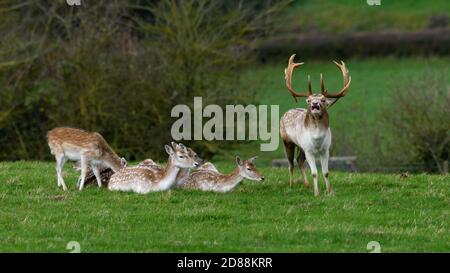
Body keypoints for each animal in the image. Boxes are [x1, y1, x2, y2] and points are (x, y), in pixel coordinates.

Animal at [282, 53, 352, 196]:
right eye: (308, 100)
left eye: (323, 99)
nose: (315, 104)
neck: (317, 140)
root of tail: (286, 112)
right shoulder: (309, 150)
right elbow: (314, 173)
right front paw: (317, 193)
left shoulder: (325, 150)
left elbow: (326, 172)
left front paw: (329, 191)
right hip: (287, 141)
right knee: (290, 163)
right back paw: (291, 185)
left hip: (301, 146)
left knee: (299, 160)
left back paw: (307, 185)